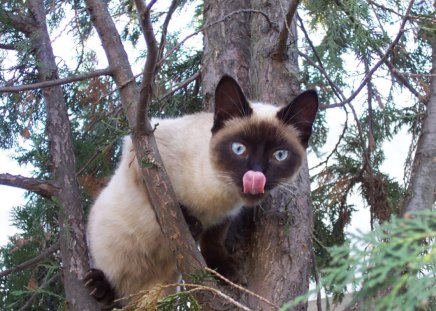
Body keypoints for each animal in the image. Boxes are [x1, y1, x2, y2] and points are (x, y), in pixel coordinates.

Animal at [84, 76, 316, 308]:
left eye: (280, 155)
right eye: (238, 149)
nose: (256, 175)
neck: (220, 196)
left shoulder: (224, 217)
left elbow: (212, 240)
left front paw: (225, 270)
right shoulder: (144, 157)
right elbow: (162, 201)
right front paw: (187, 221)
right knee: (113, 294)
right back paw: (100, 287)